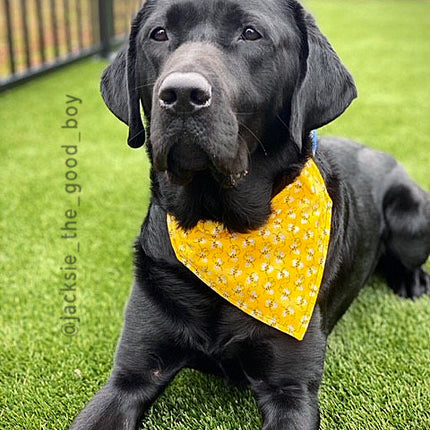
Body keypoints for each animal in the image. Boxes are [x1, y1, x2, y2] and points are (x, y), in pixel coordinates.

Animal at [70, 0, 430, 430]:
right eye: (158, 34)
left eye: (251, 33)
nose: (182, 94)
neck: (222, 224)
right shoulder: (130, 377)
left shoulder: (291, 390)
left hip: (411, 218)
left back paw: (411, 282)